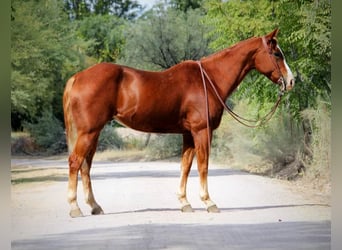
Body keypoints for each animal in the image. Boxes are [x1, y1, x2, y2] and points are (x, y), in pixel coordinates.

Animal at [63, 28, 294, 217]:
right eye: (277, 54)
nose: (291, 81)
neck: (210, 79)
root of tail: (77, 78)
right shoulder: (202, 131)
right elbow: (203, 166)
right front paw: (209, 202)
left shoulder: (188, 134)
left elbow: (185, 166)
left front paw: (185, 203)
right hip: (89, 132)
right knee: (76, 162)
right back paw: (74, 208)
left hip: (93, 133)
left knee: (86, 166)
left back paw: (95, 206)